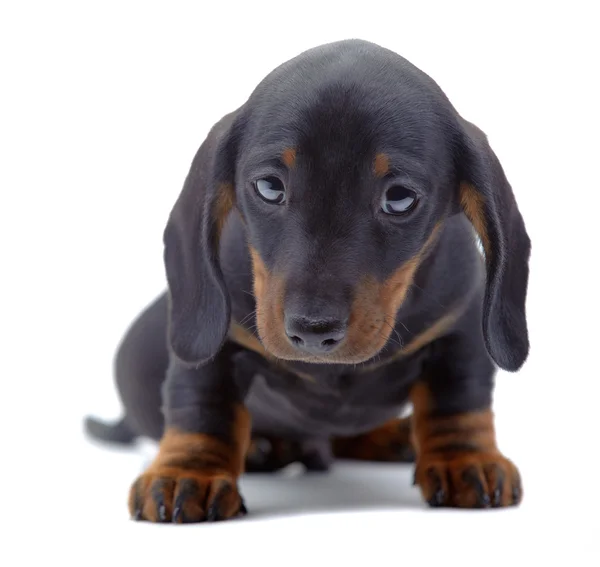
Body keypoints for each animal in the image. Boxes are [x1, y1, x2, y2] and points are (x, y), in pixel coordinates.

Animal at [85, 37, 528, 520]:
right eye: (270, 187)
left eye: (399, 197)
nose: (313, 330)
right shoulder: (217, 343)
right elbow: (201, 401)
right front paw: (189, 471)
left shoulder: (460, 328)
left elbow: (459, 400)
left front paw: (466, 459)